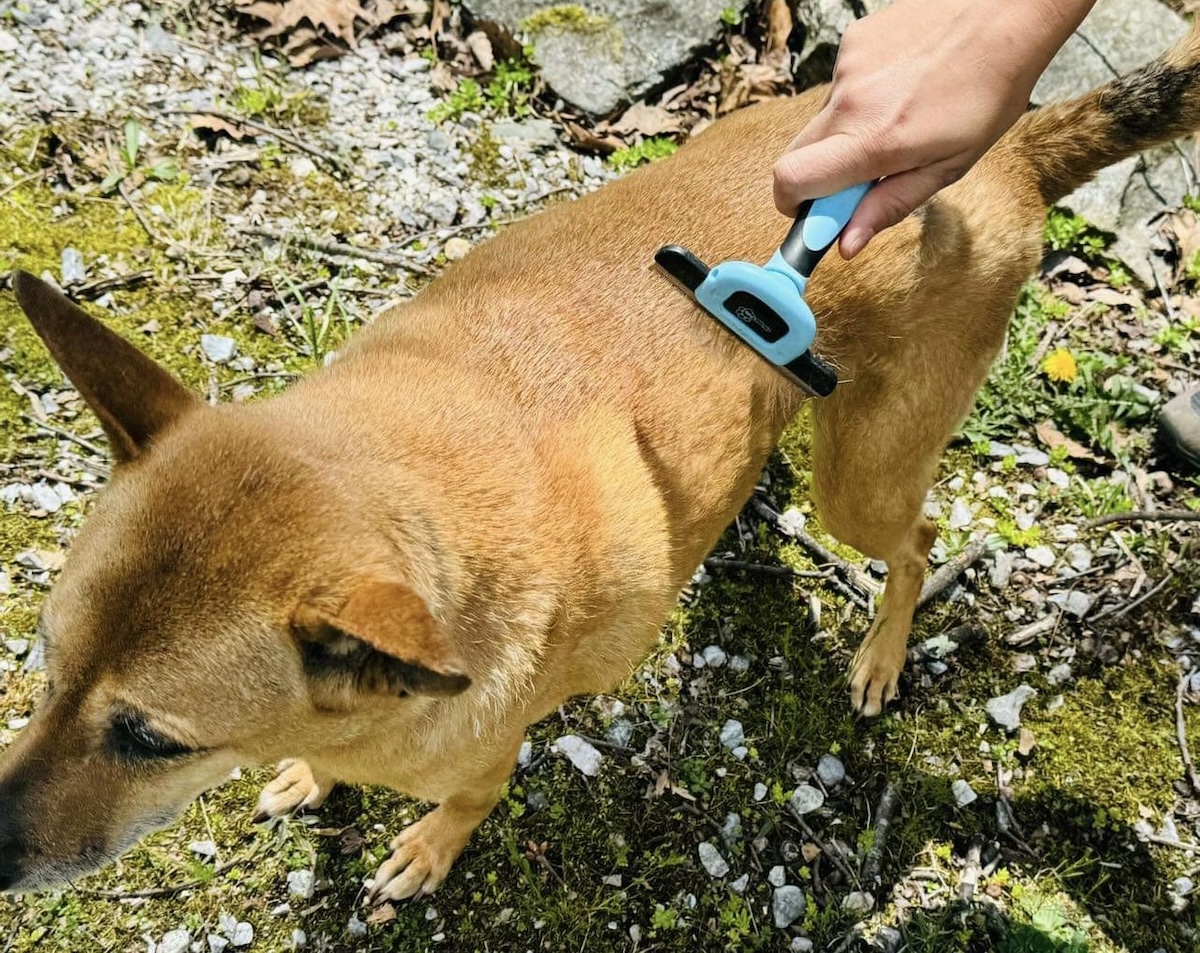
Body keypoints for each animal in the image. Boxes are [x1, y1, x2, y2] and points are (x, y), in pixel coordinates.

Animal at [2, 24, 1200, 897]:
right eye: (44, 664)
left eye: (150, 738)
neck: (424, 483)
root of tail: (1010, 148)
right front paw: (309, 772)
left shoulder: (481, 748)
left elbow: (465, 800)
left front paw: (424, 845)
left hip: (859, 477)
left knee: (915, 538)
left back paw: (881, 652)